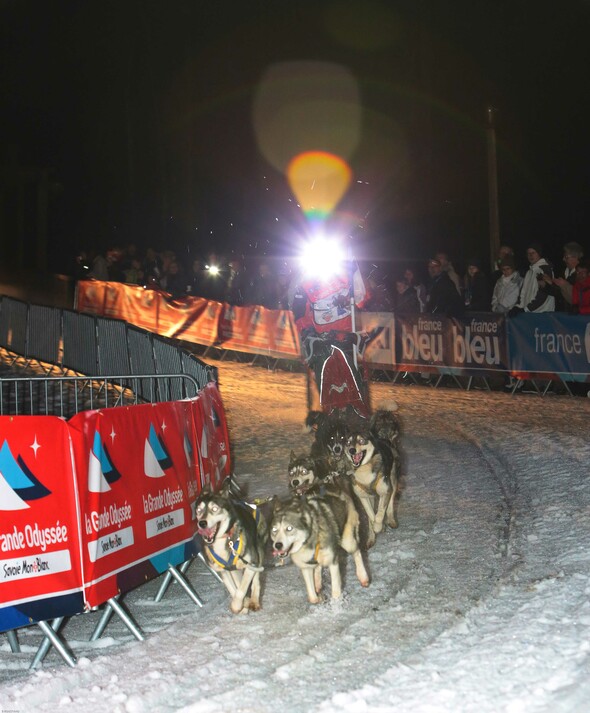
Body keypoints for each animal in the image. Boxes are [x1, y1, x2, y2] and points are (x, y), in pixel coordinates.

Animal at [197, 478, 268, 612]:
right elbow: (234, 590)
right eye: (199, 510)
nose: (202, 523)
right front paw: (242, 605)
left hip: (258, 554)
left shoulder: (251, 564)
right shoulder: (224, 571)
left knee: (256, 581)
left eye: (215, 509)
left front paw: (239, 605)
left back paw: (254, 601)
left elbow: (241, 590)